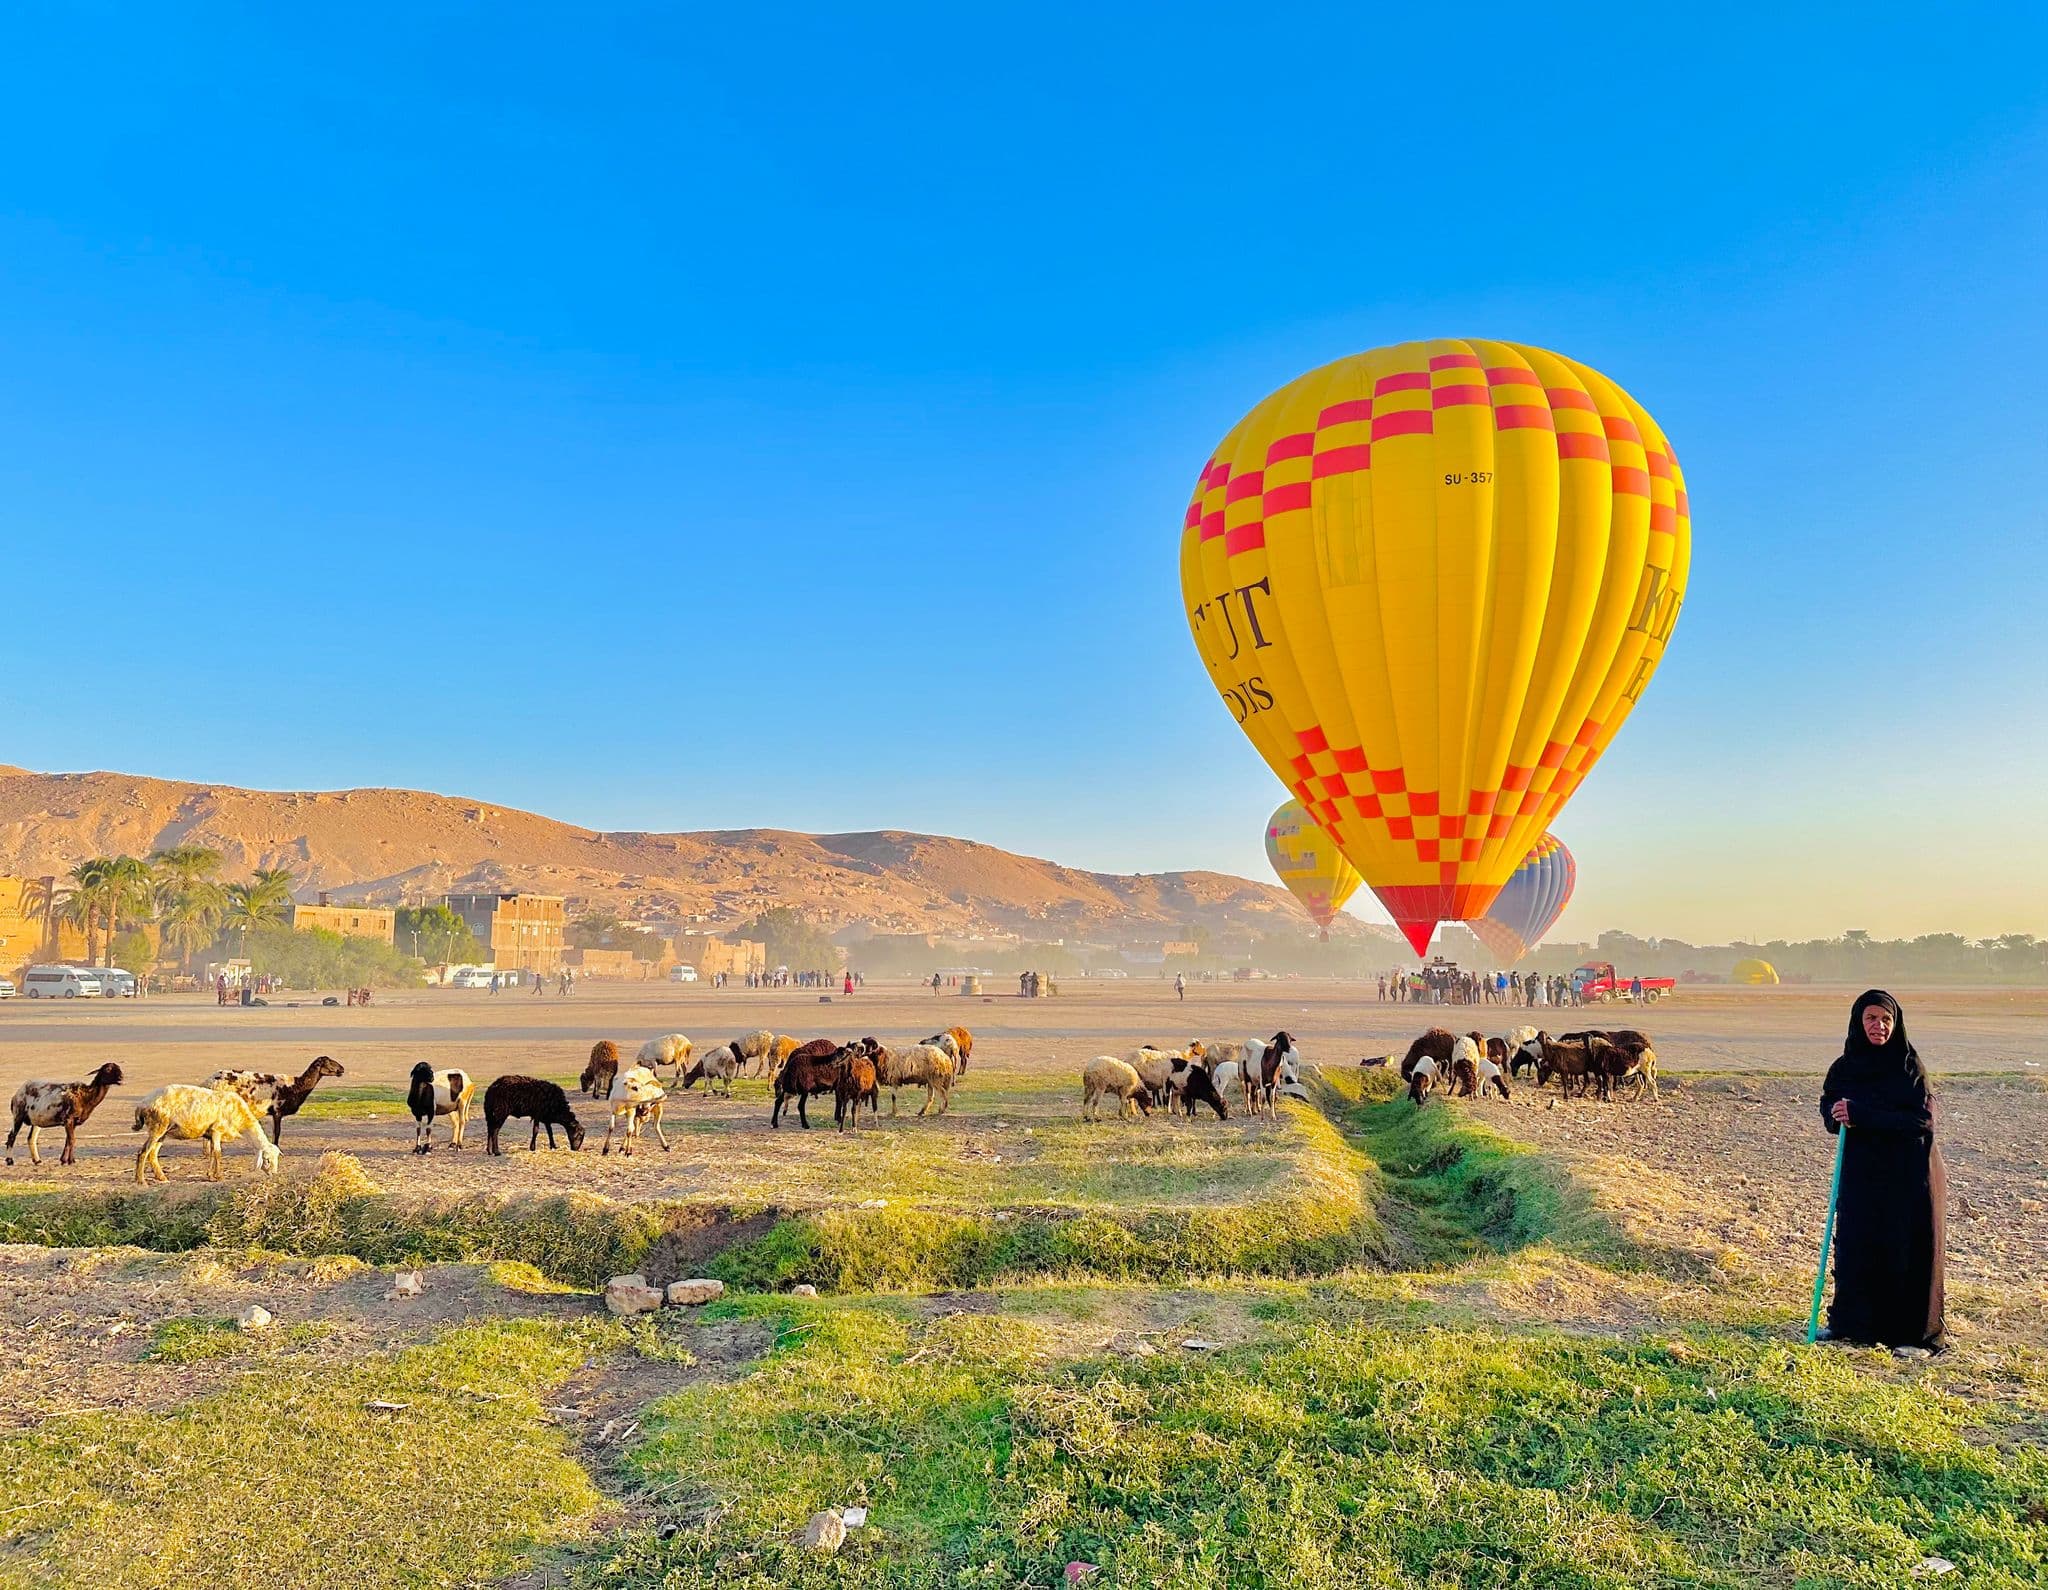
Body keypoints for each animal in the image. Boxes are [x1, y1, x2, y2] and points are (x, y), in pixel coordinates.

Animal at [132, 1085, 279, 1184]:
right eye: (267, 1160)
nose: (274, 1174)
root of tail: (143, 1103)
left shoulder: (211, 1134)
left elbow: (213, 1153)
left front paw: (210, 1175)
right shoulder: (217, 1131)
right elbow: (218, 1154)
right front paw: (219, 1176)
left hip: (163, 1131)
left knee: (152, 1154)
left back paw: (162, 1177)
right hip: (158, 1126)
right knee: (143, 1152)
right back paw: (141, 1181)